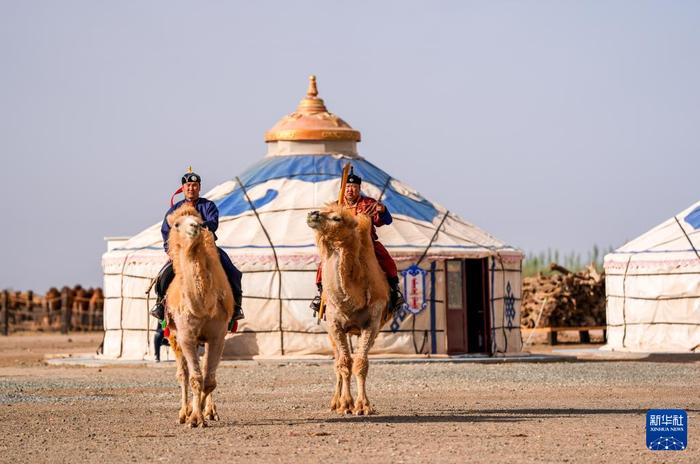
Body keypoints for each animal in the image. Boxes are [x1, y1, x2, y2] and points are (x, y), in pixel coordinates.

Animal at [162, 205, 232, 430]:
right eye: (176, 224)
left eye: (201, 222)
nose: (195, 227)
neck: (202, 306)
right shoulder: (186, 336)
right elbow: (194, 378)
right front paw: (193, 417)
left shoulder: (218, 335)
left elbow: (208, 380)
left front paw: (200, 413)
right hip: (172, 335)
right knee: (183, 373)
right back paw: (182, 413)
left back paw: (209, 411)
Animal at [308, 205, 394, 416]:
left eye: (337, 218)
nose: (312, 213)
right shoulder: (335, 324)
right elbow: (344, 363)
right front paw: (346, 404)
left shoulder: (372, 323)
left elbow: (361, 363)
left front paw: (363, 406)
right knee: (338, 361)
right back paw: (335, 402)